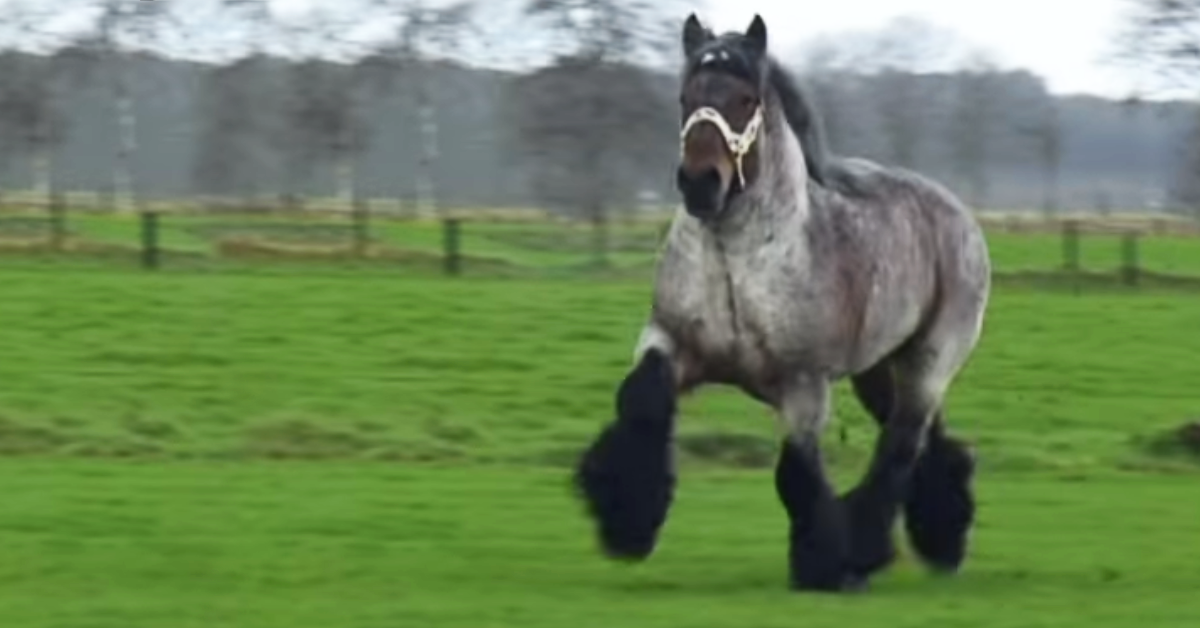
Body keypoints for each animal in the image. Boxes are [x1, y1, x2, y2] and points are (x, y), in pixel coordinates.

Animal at [573, 13, 991, 593]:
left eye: (746, 98)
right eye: (686, 97)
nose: (700, 182)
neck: (738, 260)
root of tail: (958, 215)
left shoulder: (803, 383)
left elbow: (796, 472)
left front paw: (822, 566)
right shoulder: (668, 341)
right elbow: (642, 402)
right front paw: (627, 524)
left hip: (930, 360)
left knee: (901, 445)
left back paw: (867, 553)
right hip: (879, 369)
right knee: (926, 440)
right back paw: (942, 539)